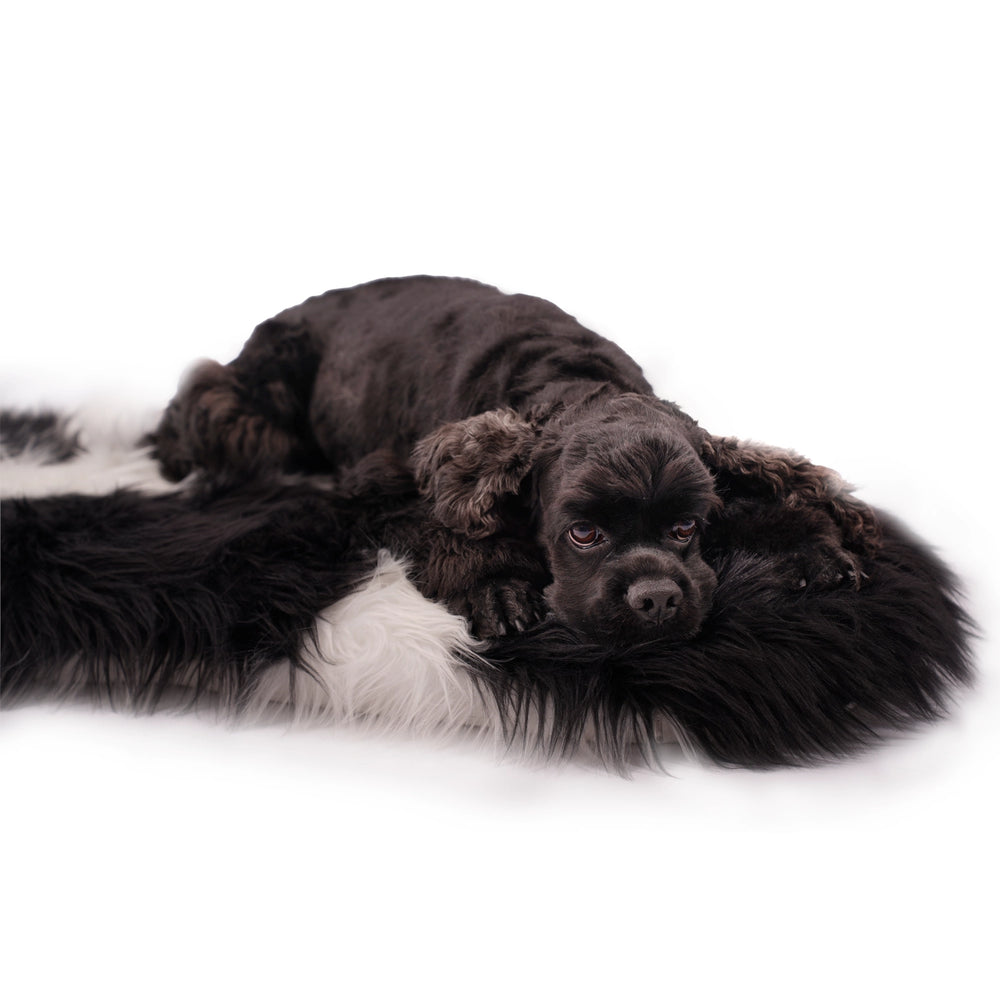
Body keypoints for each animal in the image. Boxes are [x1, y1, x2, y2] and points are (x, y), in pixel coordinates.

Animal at [152, 278, 880, 644]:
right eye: (582, 533)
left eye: (685, 528)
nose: (656, 600)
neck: (570, 378)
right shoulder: (390, 480)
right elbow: (451, 533)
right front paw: (498, 586)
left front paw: (808, 546)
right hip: (253, 406)